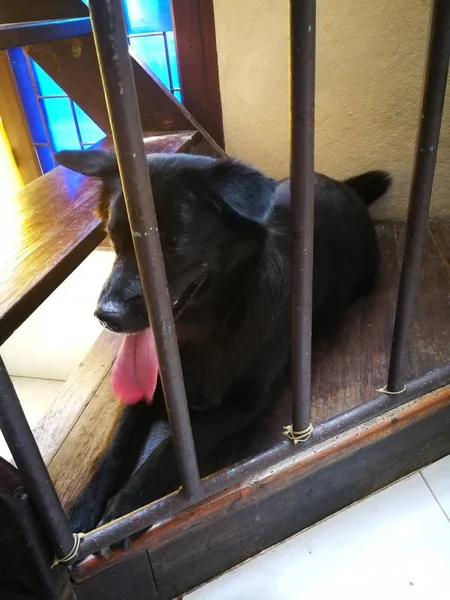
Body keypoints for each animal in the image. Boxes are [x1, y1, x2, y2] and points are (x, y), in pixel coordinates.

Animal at [53, 151, 390, 536]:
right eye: (113, 237)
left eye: (171, 243)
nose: (106, 316)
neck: (205, 333)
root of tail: (347, 187)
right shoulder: (147, 391)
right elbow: (113, 449)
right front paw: (83, 510)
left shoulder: (243, 404)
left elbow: (168, 450)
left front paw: (123, 512)